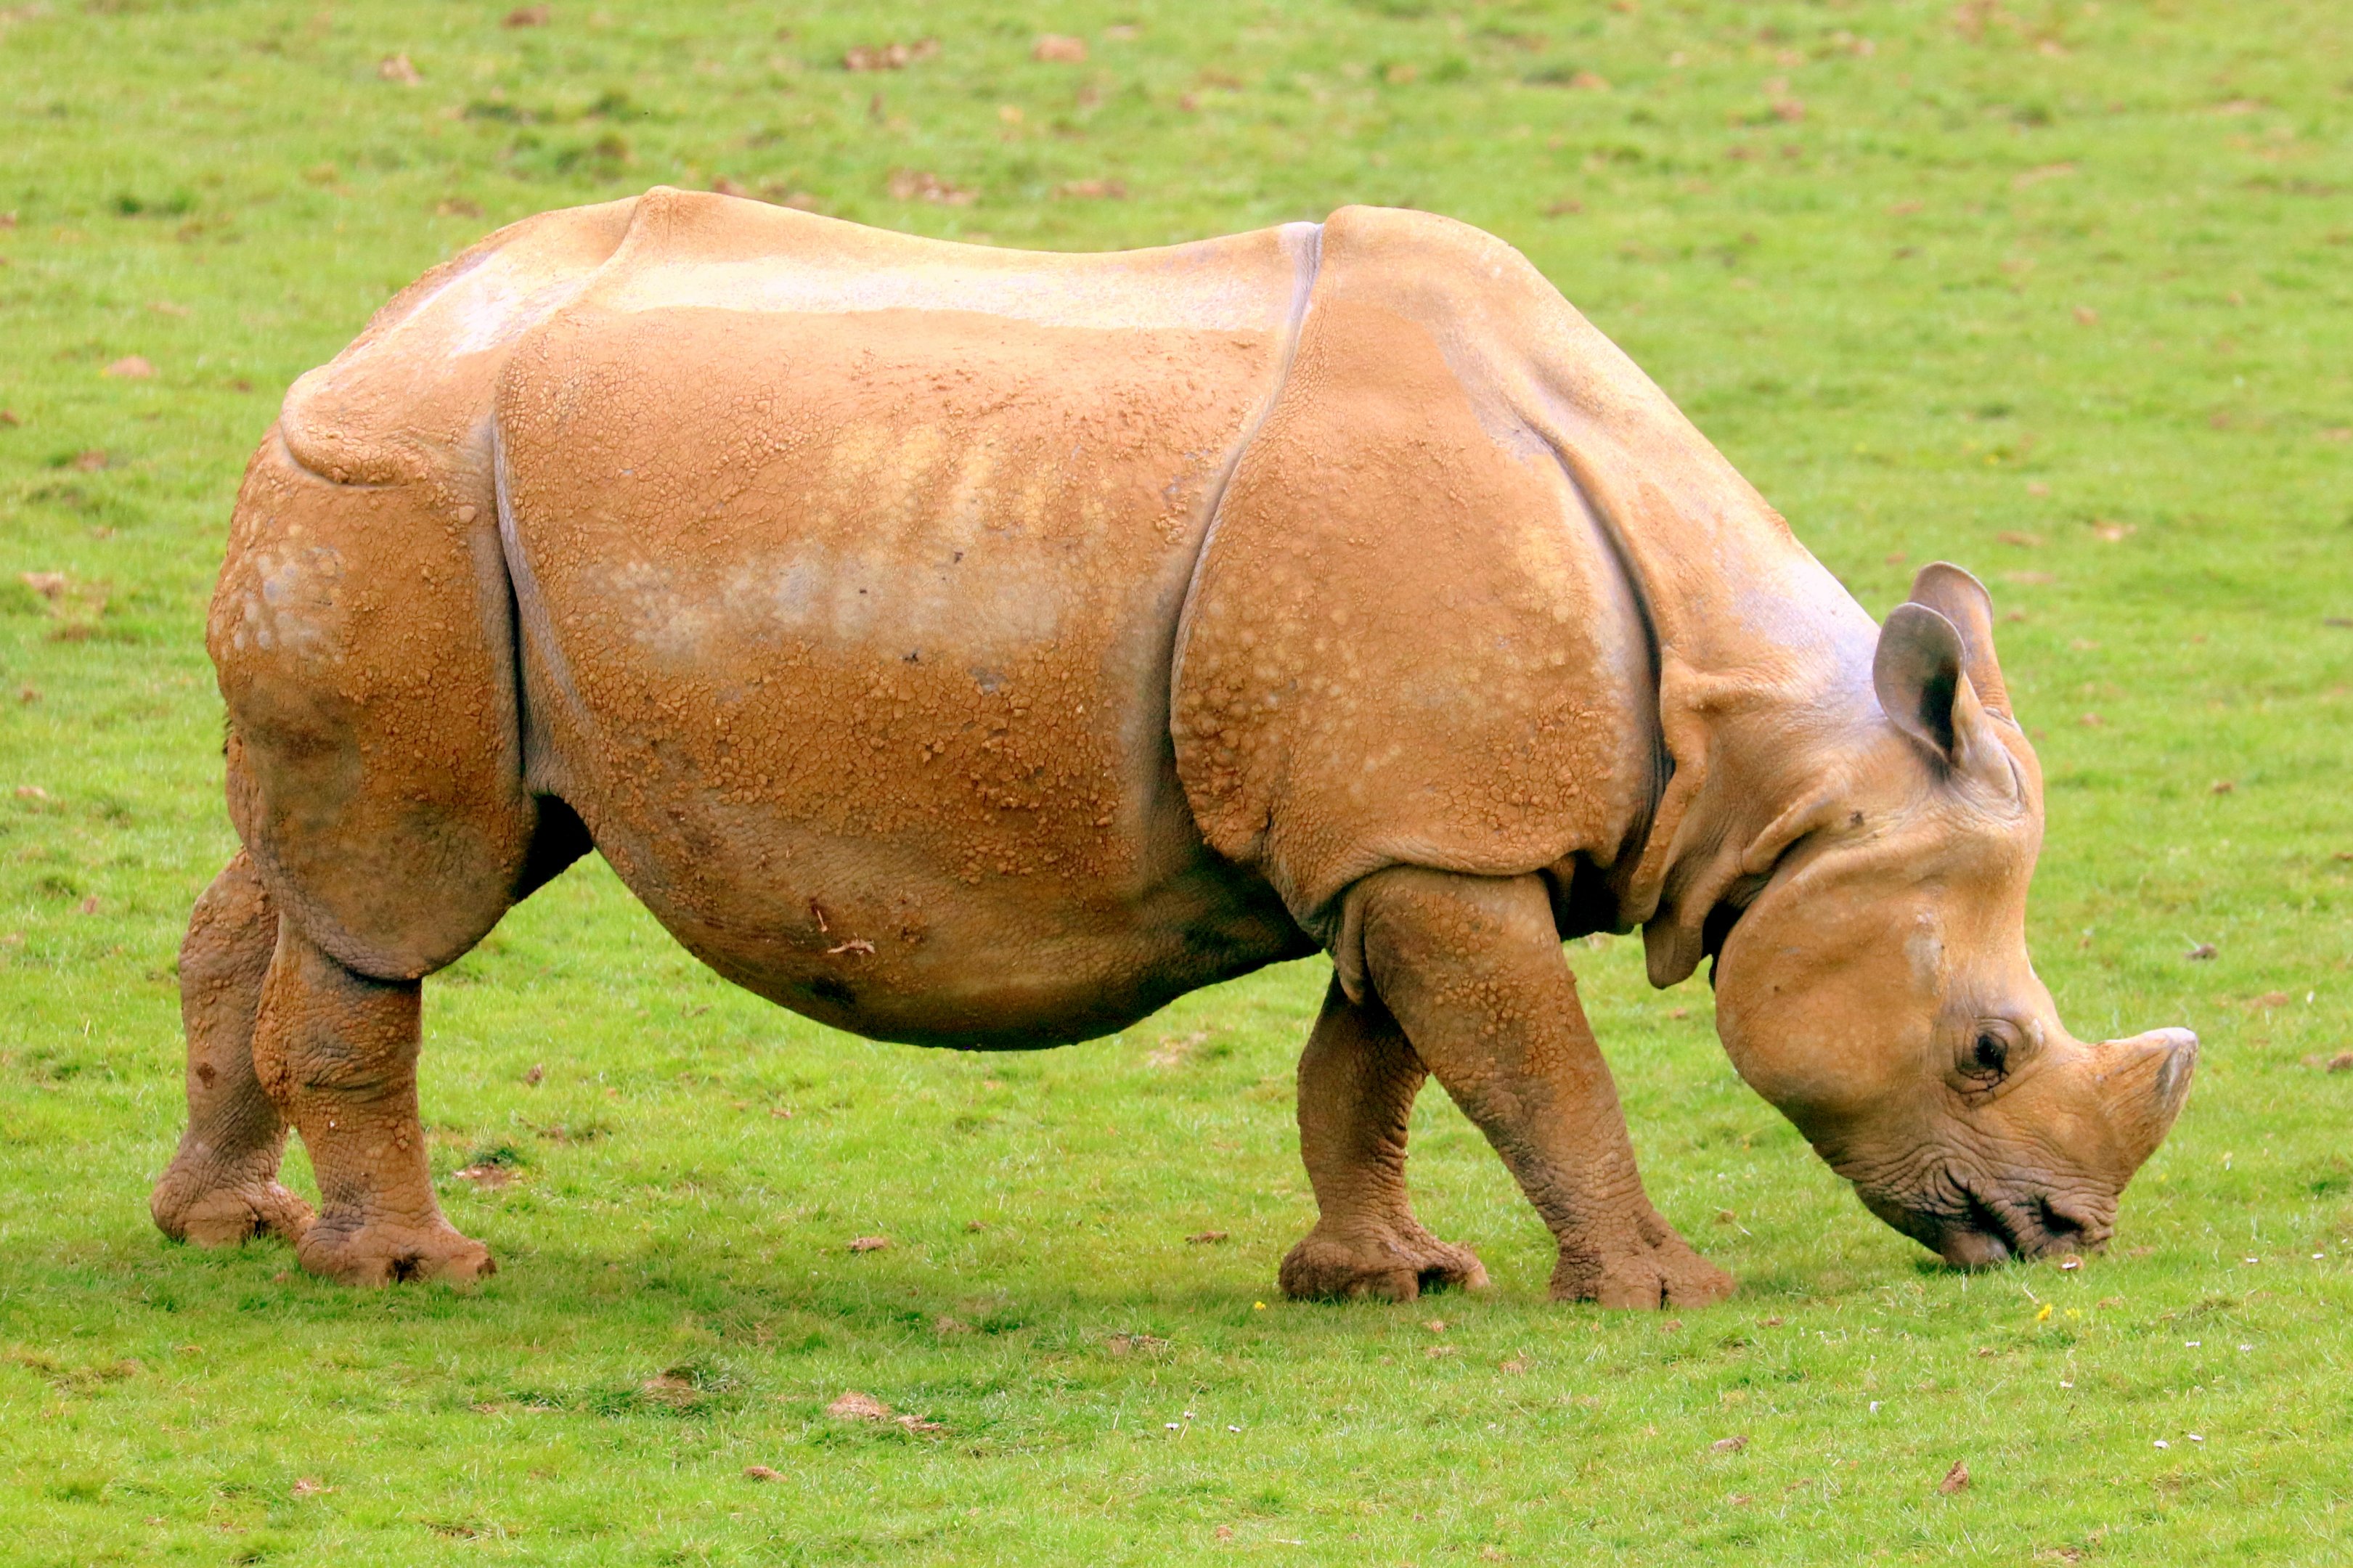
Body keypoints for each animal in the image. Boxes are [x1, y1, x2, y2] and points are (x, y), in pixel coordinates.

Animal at [151, 191, 2196, 1301]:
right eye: (1988, 1050)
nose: (2063, 1236)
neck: (1758, 766)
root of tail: (373, 329)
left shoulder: (1398, 832)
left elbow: (1375, 1069)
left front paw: (1389, 1281)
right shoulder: (1432, 836)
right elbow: (1543, 1071)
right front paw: (1662, 1291)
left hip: (427, 498)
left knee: (296, 869)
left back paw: (230, 1230)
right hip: (409, 487)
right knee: (399, 896)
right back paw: (417, 1270)